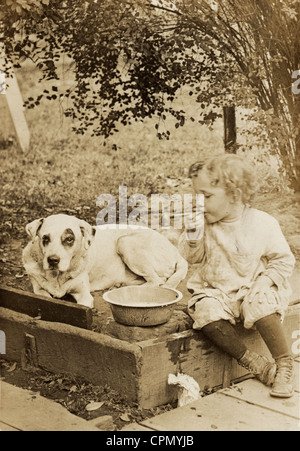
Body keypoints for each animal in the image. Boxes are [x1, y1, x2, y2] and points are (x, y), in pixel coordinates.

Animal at [22, 215, 188, 308]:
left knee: (157, 281)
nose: (53, 260)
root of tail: (176, 251)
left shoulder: (84, 295)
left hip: (125, 242)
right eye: (45, 238)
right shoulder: (38, 290)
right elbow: (44, 295)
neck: (57, 276)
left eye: (69, 239)